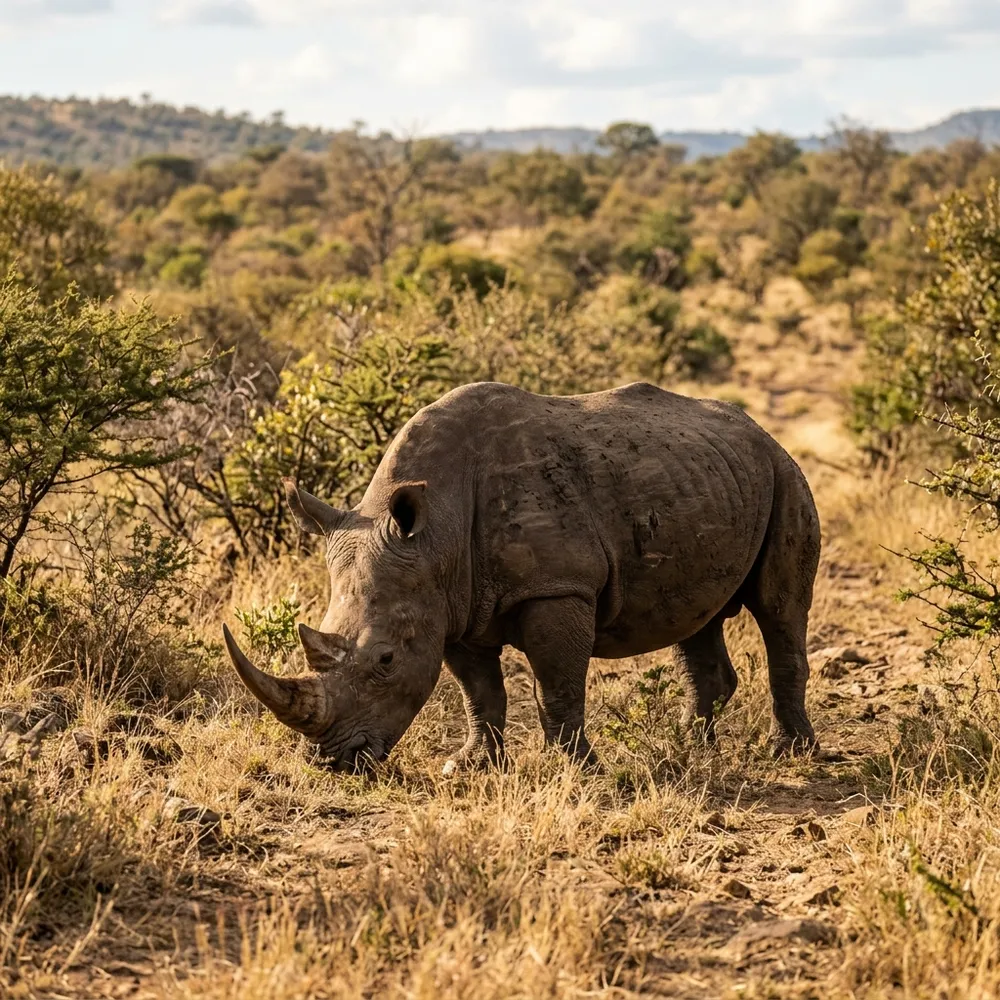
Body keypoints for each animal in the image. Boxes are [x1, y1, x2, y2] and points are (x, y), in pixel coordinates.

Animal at [223, 381, 820, 772]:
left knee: (779, 610)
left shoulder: (557, 587)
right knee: (695, 617)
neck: (435, 532)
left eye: (386, 660)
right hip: (705, 480)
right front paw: (470, 766)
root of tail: (760, 430)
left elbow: (557, 683)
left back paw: (789, 753)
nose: (330, 761)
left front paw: (576, 771)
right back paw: (692, 746)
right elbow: (480, 692)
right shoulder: (451, 603)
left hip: (785, 474)